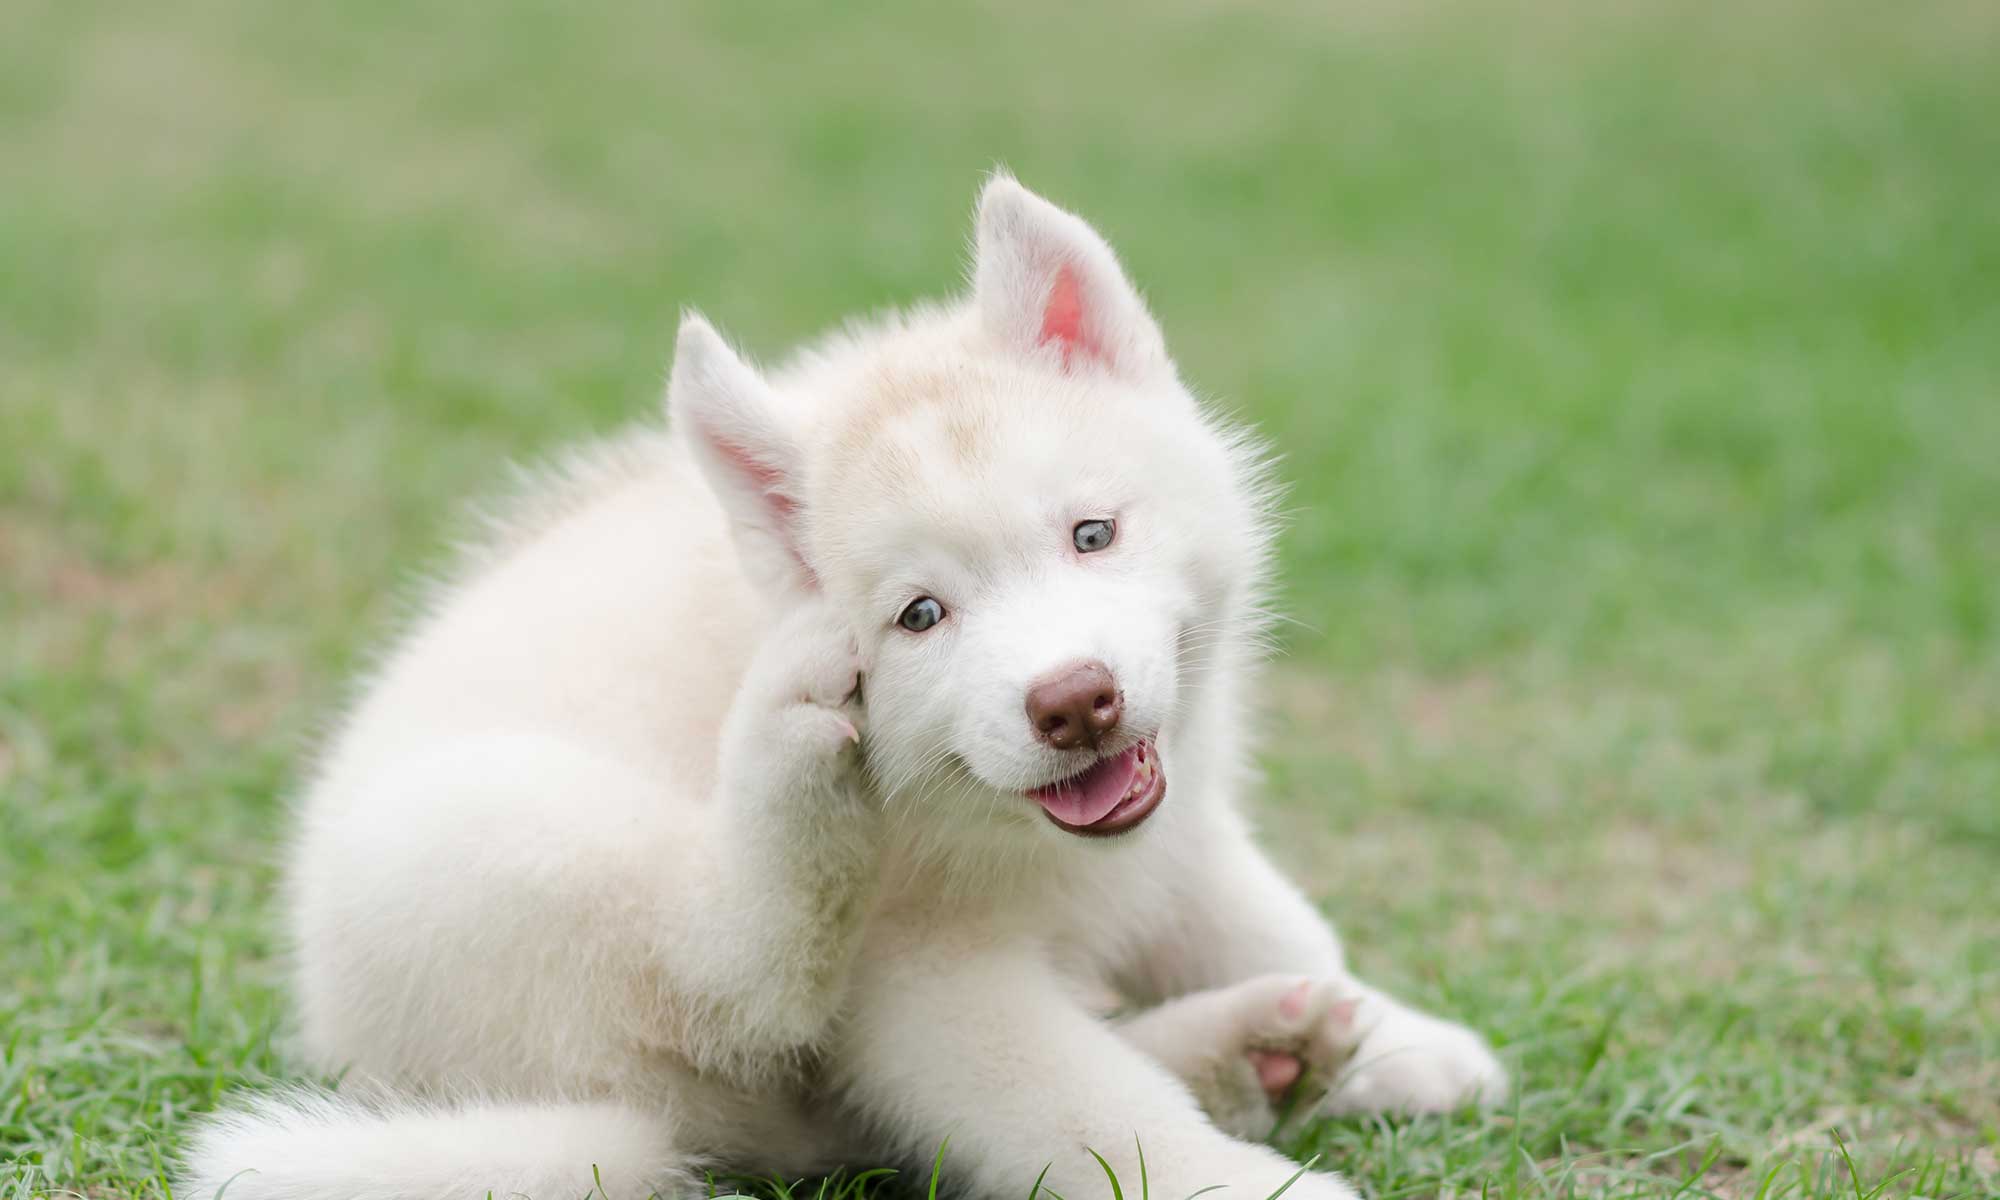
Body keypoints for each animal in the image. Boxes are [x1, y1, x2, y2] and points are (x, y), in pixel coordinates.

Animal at [184, 173, 1504, 1200]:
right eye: (919, 617)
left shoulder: (1177, 826)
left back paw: (1252, 1050)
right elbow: (1078, 1106)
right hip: (492, 834)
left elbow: (1269, 922)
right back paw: (789, 770)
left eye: (1091, 534)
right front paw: (1244, 1177)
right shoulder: (921, 981)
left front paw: (1395, 1036)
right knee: (739, 986)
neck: (1006, 835)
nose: (1072, 702)